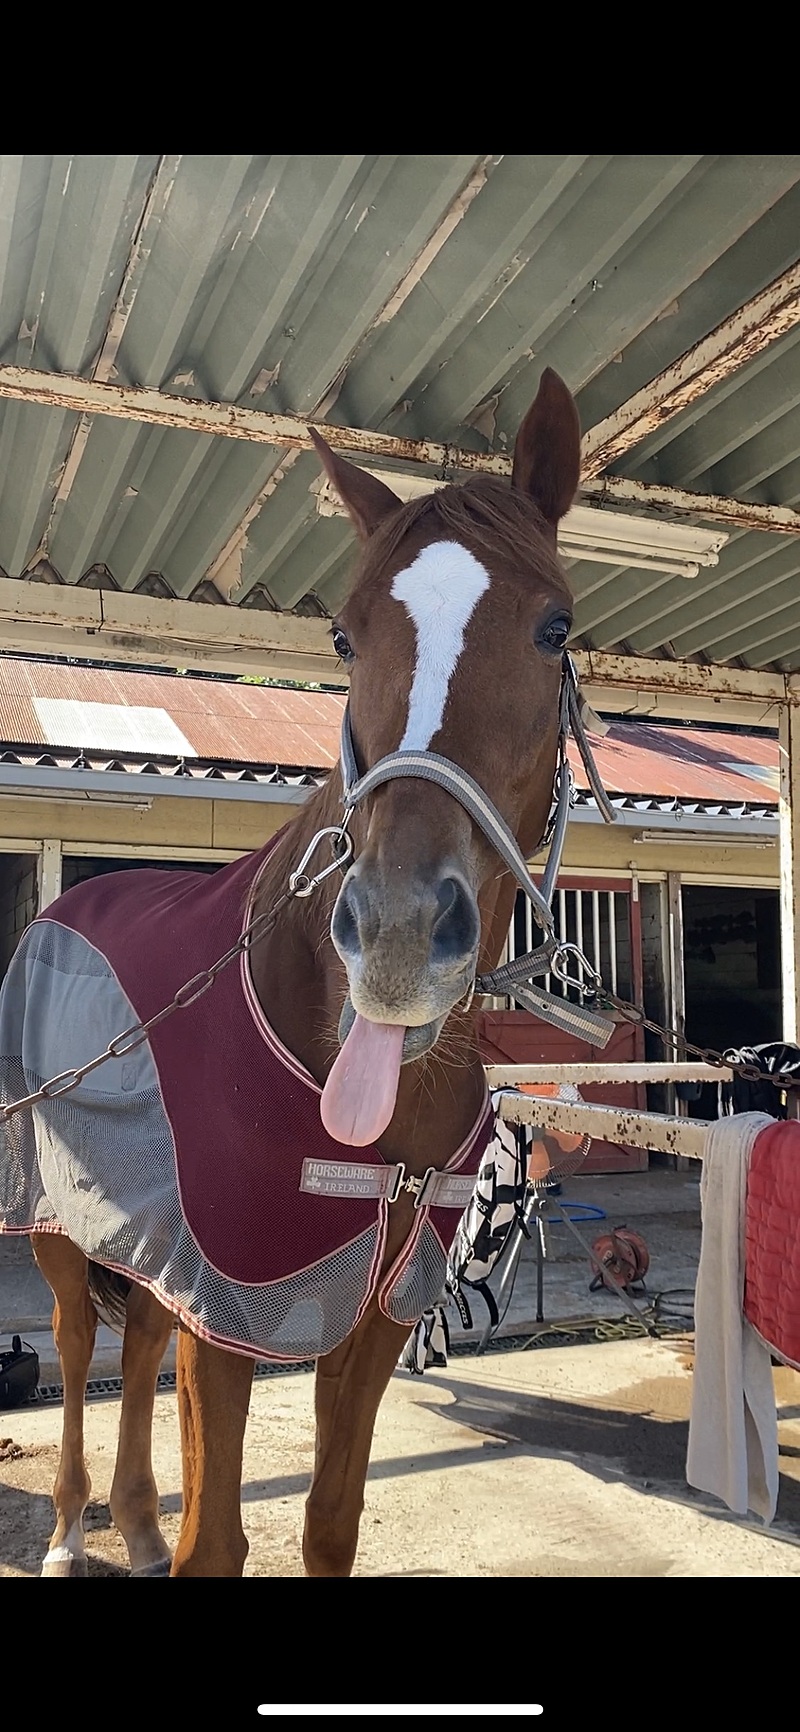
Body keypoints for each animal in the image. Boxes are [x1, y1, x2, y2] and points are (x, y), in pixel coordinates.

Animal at [10, 368, 581, 1586]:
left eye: (554, 626)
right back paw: (74, 1529)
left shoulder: (369, 1314)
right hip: (56, 1223)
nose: (400, 934)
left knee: (135, 1345)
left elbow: (328, 1524)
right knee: (80, 1345)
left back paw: (133, 1521)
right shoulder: (230, 1304)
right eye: (344, 635)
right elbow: (216, 1542)